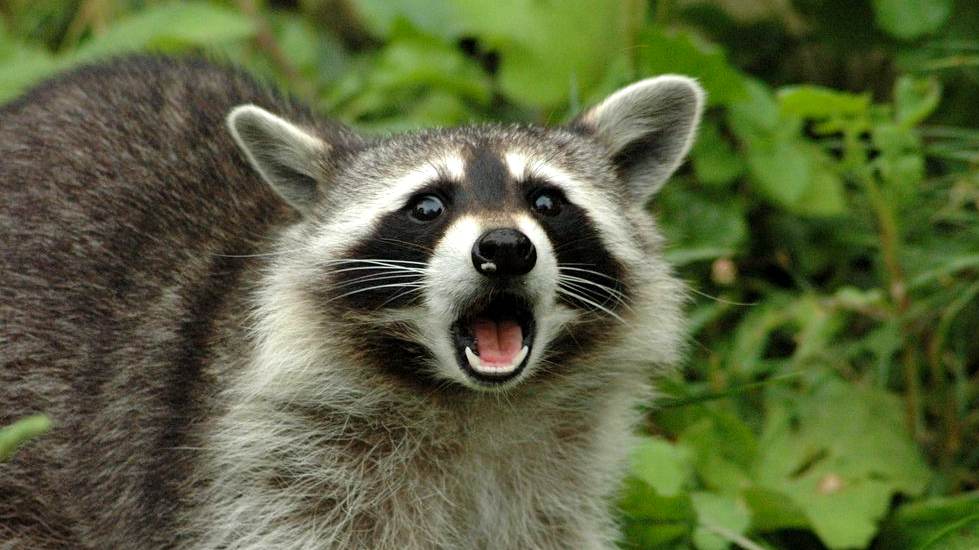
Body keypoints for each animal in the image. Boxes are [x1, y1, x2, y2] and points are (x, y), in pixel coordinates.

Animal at [0, 57, 703, 549]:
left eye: (547, 201)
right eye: (428, 206)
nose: (505, 248)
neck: (477, 407)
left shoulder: (550, 495)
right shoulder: (259, 471)